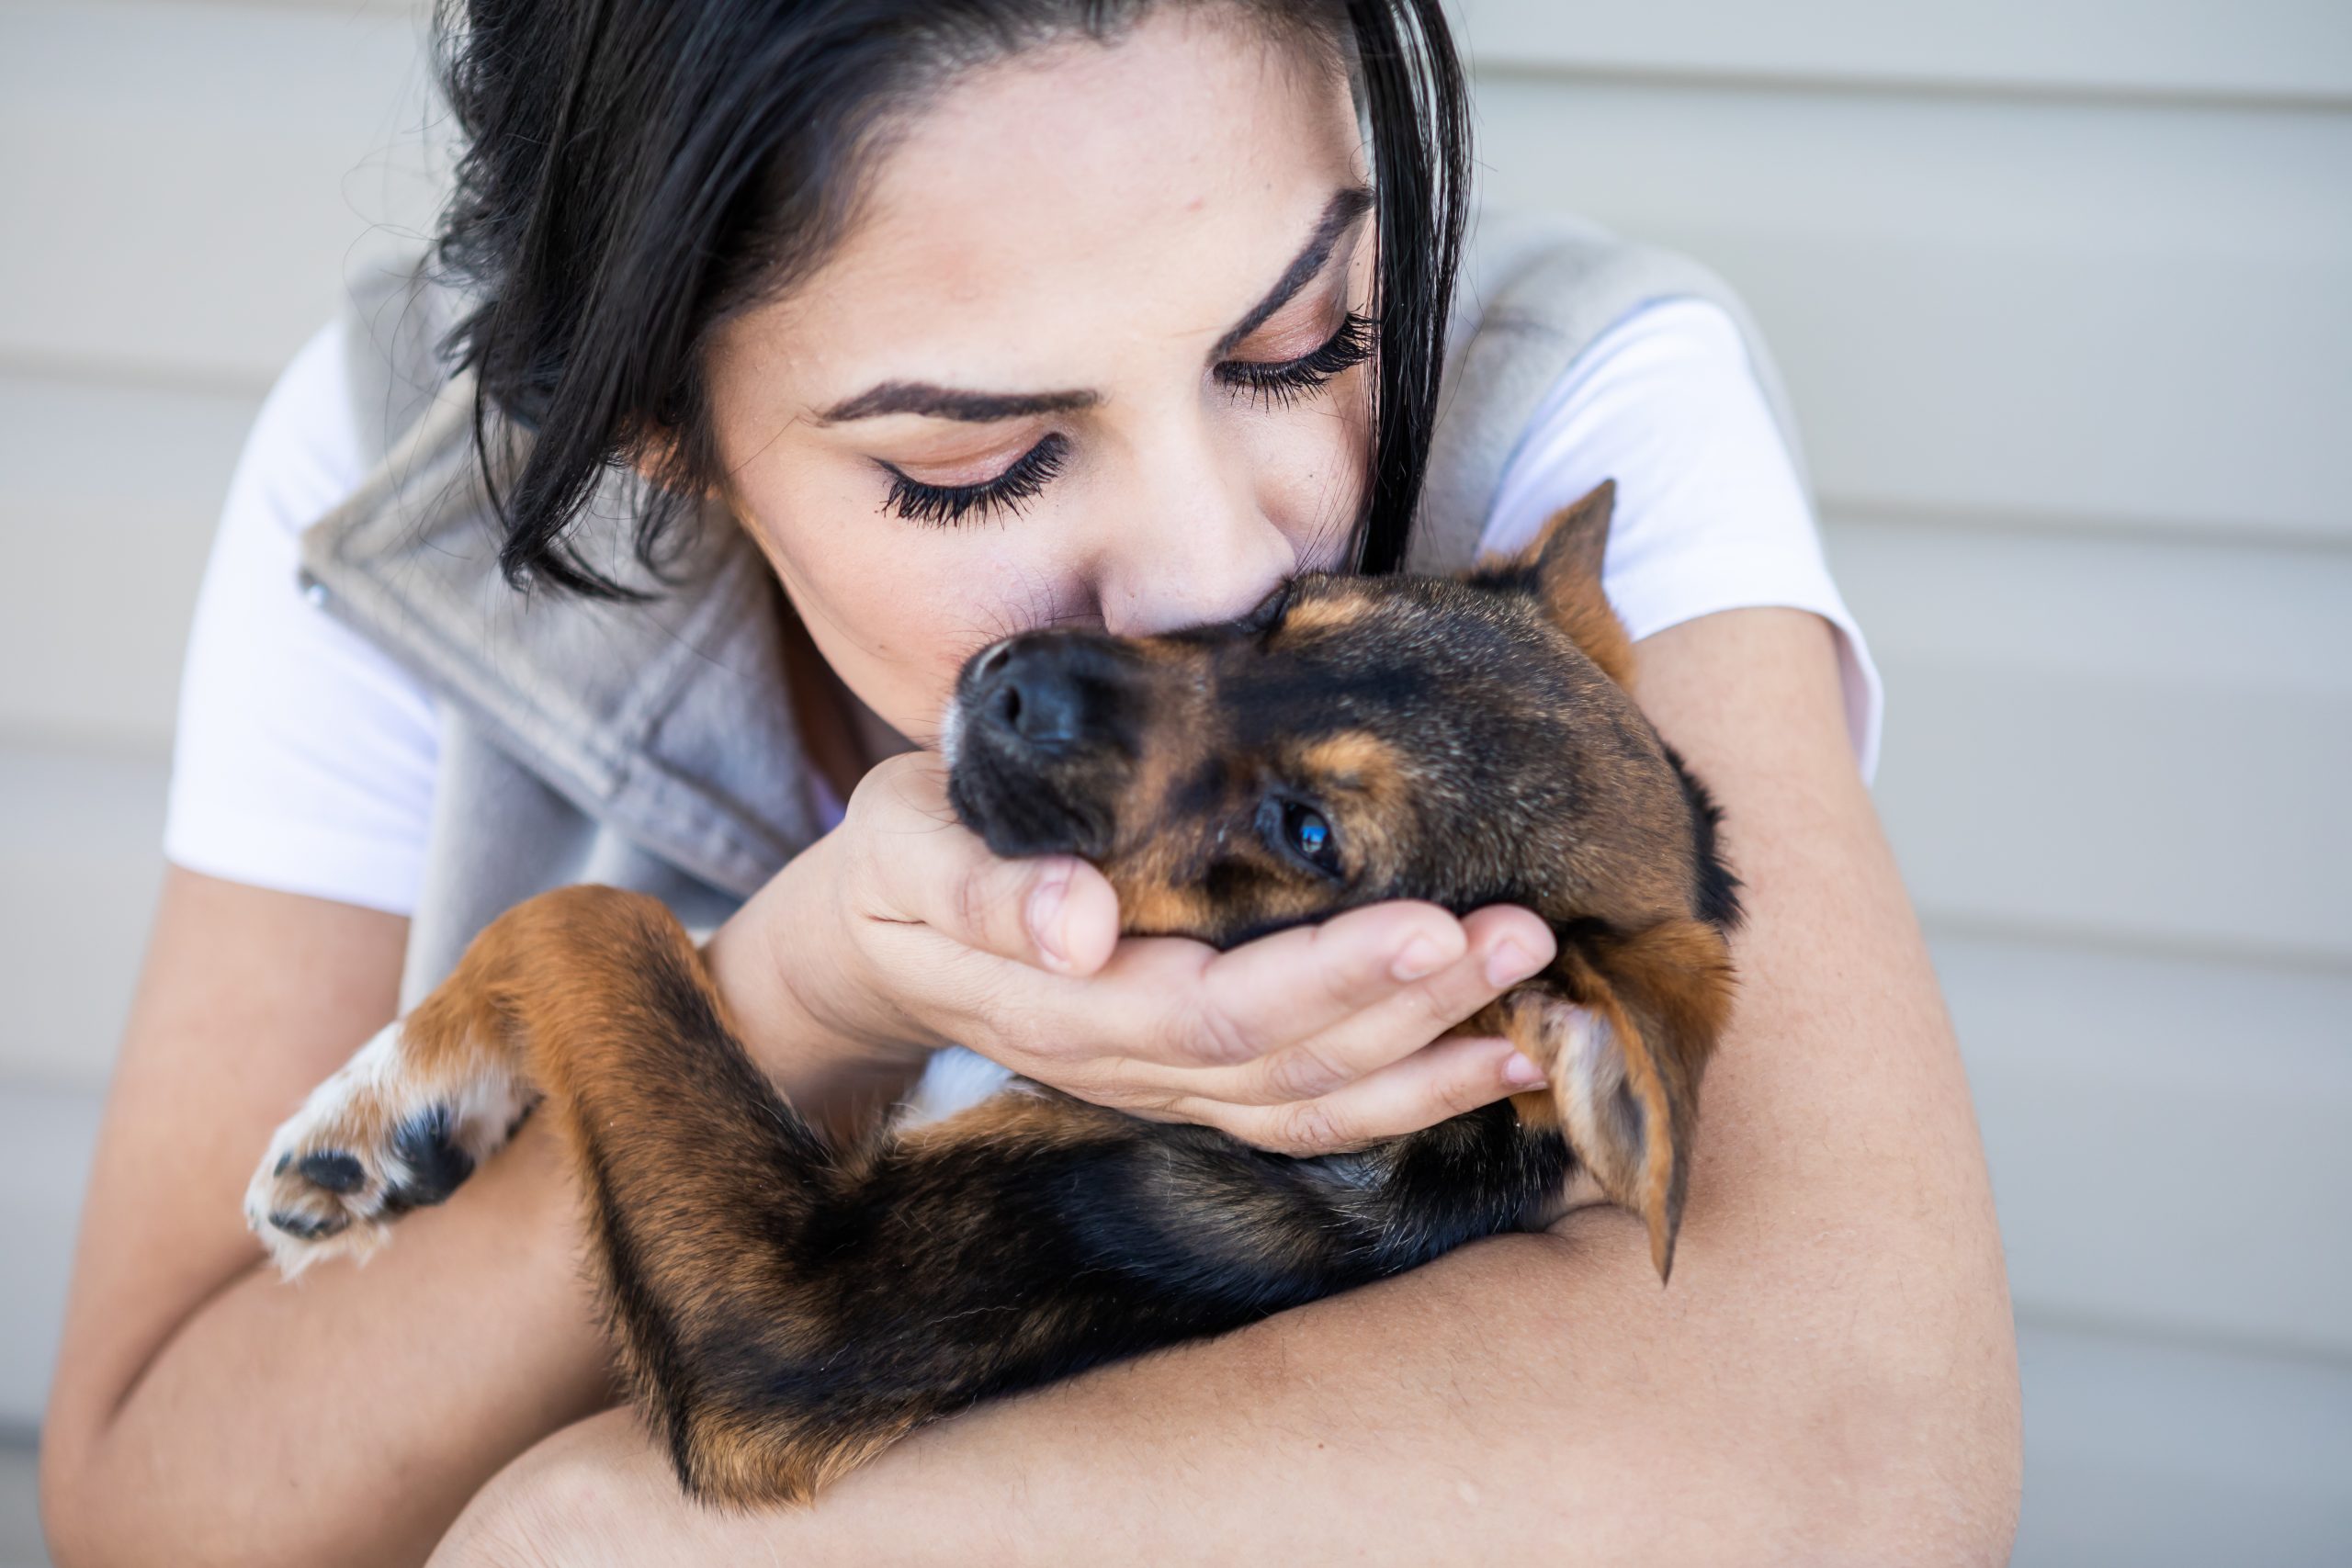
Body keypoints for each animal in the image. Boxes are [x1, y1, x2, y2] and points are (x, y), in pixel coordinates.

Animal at [248, 481, 1740, 1504]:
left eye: (1308, 830)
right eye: (1275, 613)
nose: (1011, 681)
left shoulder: (778, 1327)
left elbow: (599, 920)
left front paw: (389, 1107)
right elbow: (633, 935)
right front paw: (384, 1111)